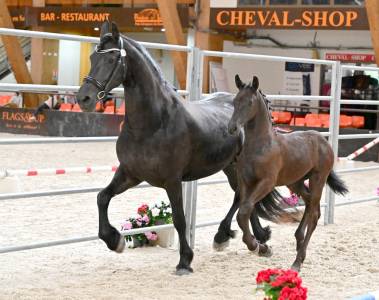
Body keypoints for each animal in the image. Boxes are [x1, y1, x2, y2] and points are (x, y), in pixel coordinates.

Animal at [75, 20, 292, 274]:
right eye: (92, 57)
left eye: (111, 58)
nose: (84, 99)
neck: (153, 124)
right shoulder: (130, 173)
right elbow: (102, 197)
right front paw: (114, 240)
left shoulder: (172, 180)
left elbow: (179, 218)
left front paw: (185, 261)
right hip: (230, 167)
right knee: (243, 196)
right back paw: (256, 238)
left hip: (238, 166)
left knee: (241, 197)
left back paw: (226, 236)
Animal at [227, 75, 348, 272]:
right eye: (235, 101)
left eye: (250, 102)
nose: (232, 128)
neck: (260, 145)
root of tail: (323, 141)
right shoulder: (245, 182)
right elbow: (243, 212)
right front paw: (261, 247)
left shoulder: (267, 183)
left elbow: (244, 211)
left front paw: (258, 246)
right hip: (295, 182)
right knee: (310, 204)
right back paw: (299, 243)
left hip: (318, 178)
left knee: (314, 214)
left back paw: (297, 261)